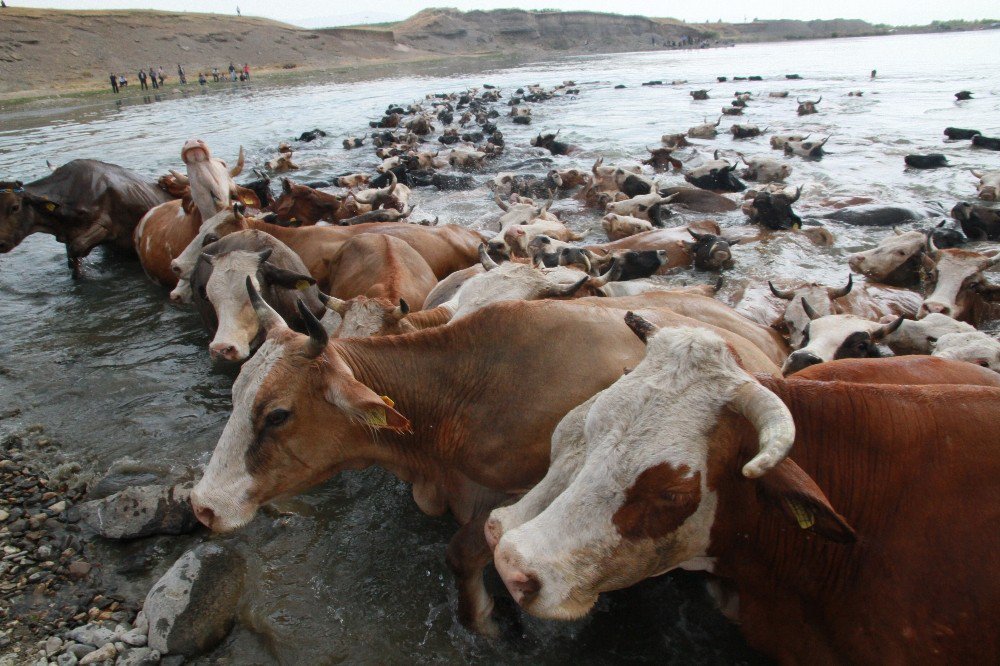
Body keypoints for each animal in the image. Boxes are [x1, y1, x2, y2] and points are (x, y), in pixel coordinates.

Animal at [0, 160, 170, 274]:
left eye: (15, 207)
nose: (1, 243)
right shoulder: (68, 236)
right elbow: (72, 259)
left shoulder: (104, 226)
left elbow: (77, 247)